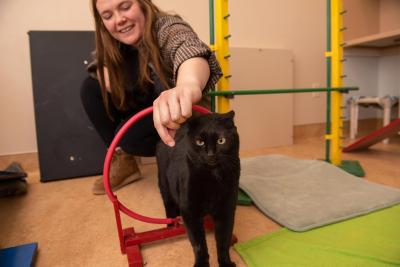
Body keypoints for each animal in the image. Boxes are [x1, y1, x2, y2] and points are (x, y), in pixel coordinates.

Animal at [155, 111, 239, 267]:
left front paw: (225, 263)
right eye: (200, 142)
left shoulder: (226, 210)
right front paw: (201, 264)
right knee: (169, 206)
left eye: (221, 140)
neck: (213, 179)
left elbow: (223, 241)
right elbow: (199, 244)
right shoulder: (190, 212)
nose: (211, 153)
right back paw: (170, 226)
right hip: (164, 186)